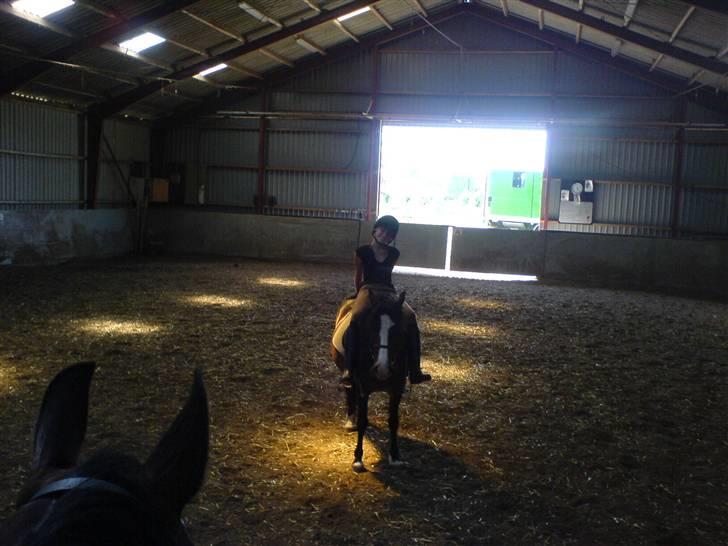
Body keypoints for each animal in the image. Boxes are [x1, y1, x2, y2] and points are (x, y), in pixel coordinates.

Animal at [332, 287, 410, 472]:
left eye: (398, 331)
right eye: (372, 328)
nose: (382, 368)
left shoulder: (396, 390)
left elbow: (393, 421)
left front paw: (395, 456)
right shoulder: (364, 389)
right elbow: (362, 422)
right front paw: (358, 459)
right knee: (349, 393)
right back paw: (350, 421)